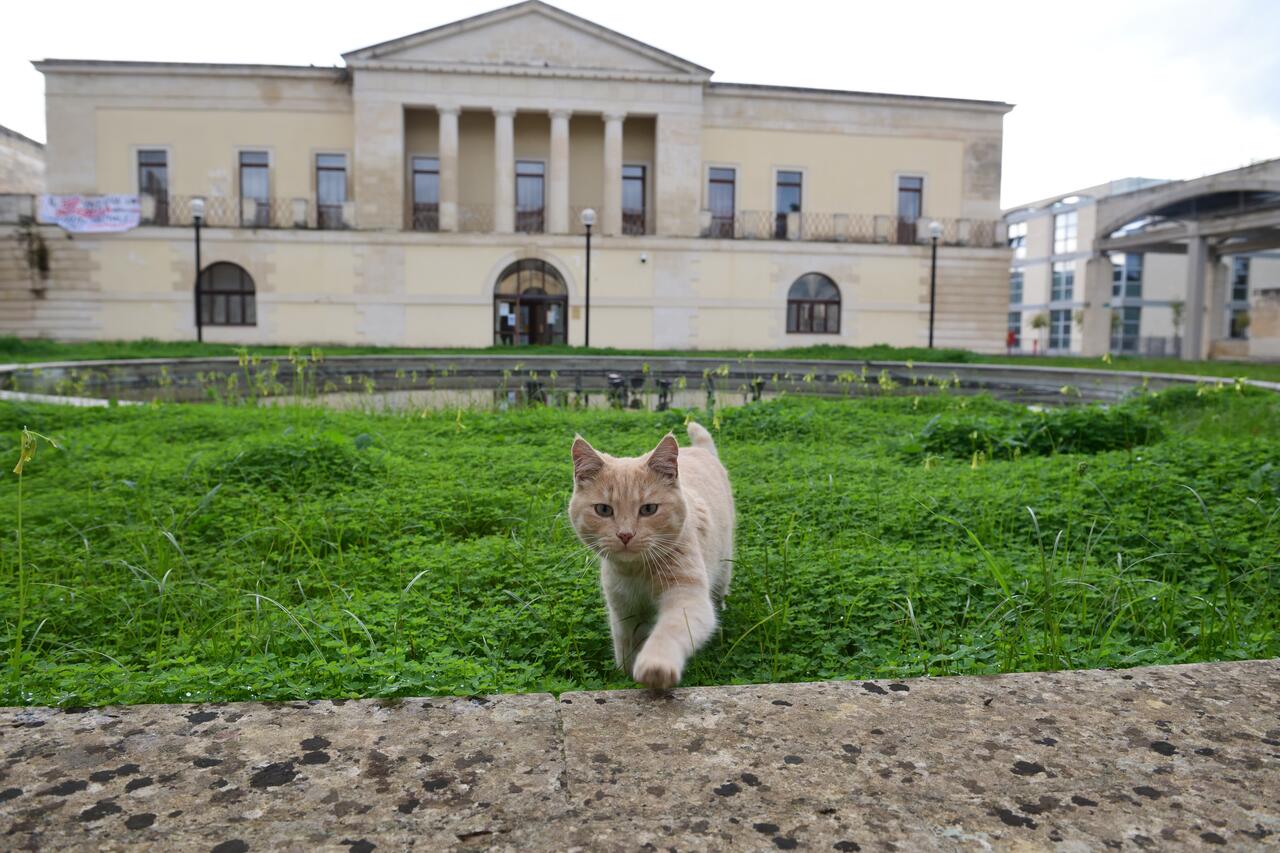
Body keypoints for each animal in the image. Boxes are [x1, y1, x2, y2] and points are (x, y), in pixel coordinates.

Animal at [568, 422, 735, 689]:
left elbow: (670, 629)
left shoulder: (687, 596)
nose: (625, 534)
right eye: (603, 510)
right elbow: (624, 643)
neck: (636, 572)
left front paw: (656, 665)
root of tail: (699, 450)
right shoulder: (622, 609)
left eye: (648, 509)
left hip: (723, 569)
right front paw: (624, 675)